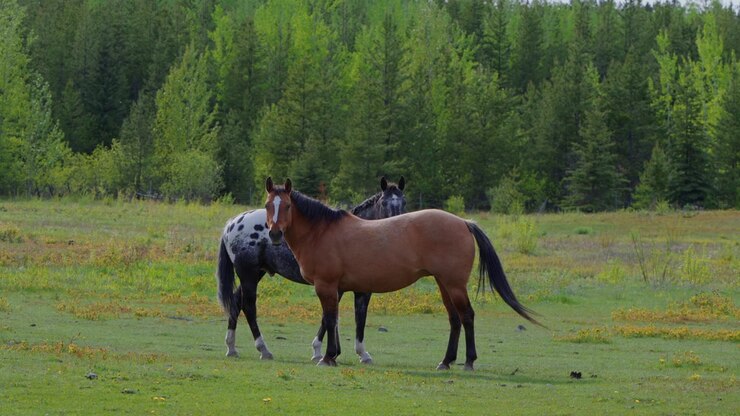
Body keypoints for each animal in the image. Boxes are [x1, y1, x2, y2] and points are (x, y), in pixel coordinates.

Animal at [217, 177, 406, 363]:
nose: (398, 229)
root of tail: (232, 223)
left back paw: (231, 347)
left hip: (255, 273)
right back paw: (263, 349)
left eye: (404, 202)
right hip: (248, 274)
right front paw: (324, 351)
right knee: (248, 306)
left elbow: (343, 317)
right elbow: (334, 318)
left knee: (236, 302)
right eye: (384, 202)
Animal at [264, 177, 541, 370]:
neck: (321, 232)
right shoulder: (340, 289)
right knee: (454, 319)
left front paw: (328, 356)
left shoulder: (327, 286)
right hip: (444, 284)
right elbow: (333, 320)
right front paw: (332, 355)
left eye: (286, 205)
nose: (275, 234)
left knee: (467, 317)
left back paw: (469, 361)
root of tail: (463, 222)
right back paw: (446, 361)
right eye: (268, 205)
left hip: (454, 284)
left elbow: (330, 320)